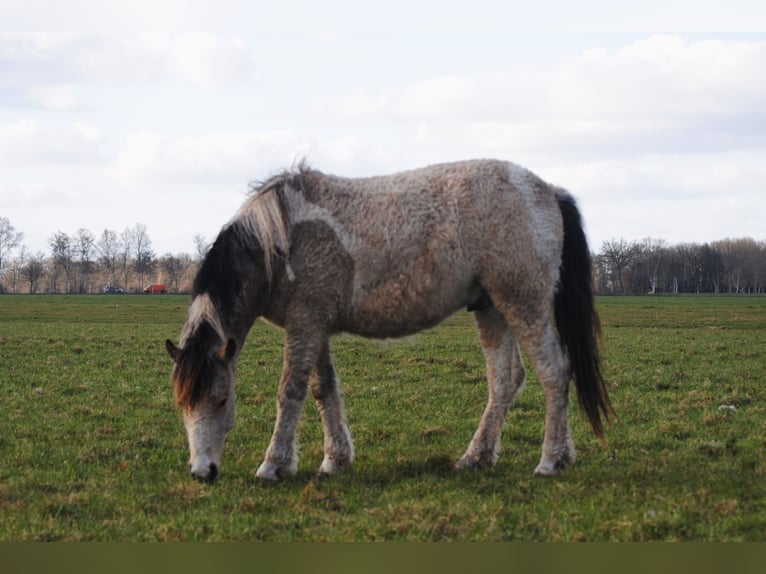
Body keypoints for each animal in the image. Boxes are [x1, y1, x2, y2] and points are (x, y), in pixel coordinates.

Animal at [165, 159, 612, 482]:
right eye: (183, 403)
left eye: (222, 399)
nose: (203, 472)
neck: (280, 239)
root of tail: (548, 191)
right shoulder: (314, 325)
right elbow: (323, 389)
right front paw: (335, 460)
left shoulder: (305, 323)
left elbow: (290, 391)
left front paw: (274, 465)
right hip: (492, 309)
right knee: (505, 381)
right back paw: (478, 457)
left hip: (524, 303)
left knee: (554, 372)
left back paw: (550, 461)